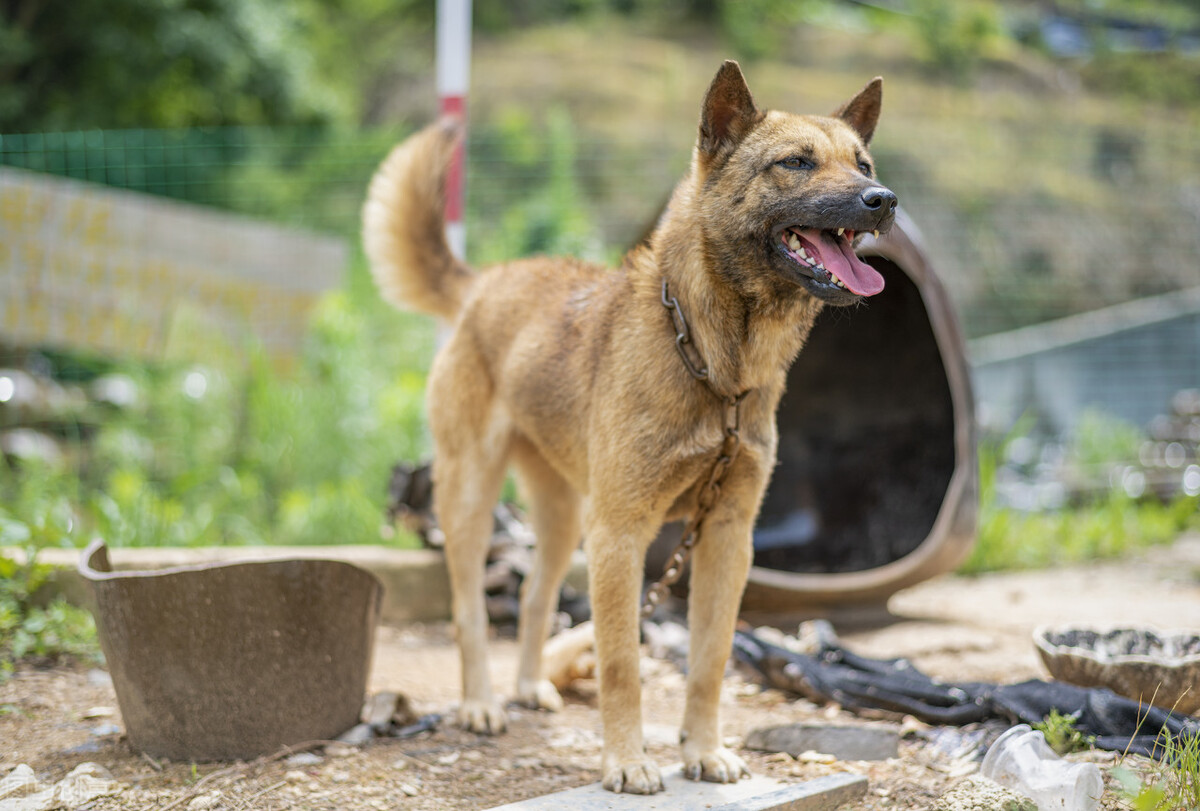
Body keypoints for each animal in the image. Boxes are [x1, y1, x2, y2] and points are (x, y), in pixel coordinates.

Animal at [360, 60, 897, 796]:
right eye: (795, 162)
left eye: (863, 163)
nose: (884, 199)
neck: (713, 367)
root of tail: (484, 282)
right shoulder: (621, 536)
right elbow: (620, 664)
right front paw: (626, 760)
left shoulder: (725, 538)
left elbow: (709, 660)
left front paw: (704, 750)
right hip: (472, 499)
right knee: (469, 609)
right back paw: (480, 703)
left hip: (564, 520)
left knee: (533, 596)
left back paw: (528, 687)